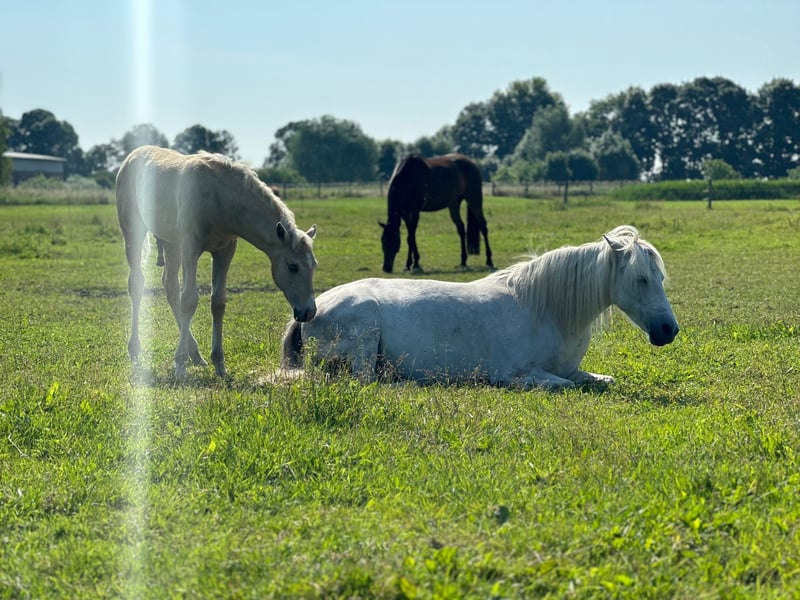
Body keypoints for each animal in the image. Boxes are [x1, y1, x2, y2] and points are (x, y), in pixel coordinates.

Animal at [116, 145, 318, 379]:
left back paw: (195, 354)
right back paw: (135, 349)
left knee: (170, 286)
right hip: (134, 234)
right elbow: (189, 300)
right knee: (137, 284)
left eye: (313, 265)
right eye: (292, 266)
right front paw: (180, 365)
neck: (220, 198)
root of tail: (132, 156)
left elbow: (218, 302)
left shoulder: (224, 252)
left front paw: (219, 363)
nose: (309, 311)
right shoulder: (190, 249)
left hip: (171, 243)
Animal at [279, 226, 678, 389]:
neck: (546, 311)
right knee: (366, 379)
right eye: (641, 279)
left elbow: (600, 381)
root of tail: (309, 311)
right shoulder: (516, 375)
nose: (668, 331)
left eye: (660, 276)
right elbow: (564, 385)